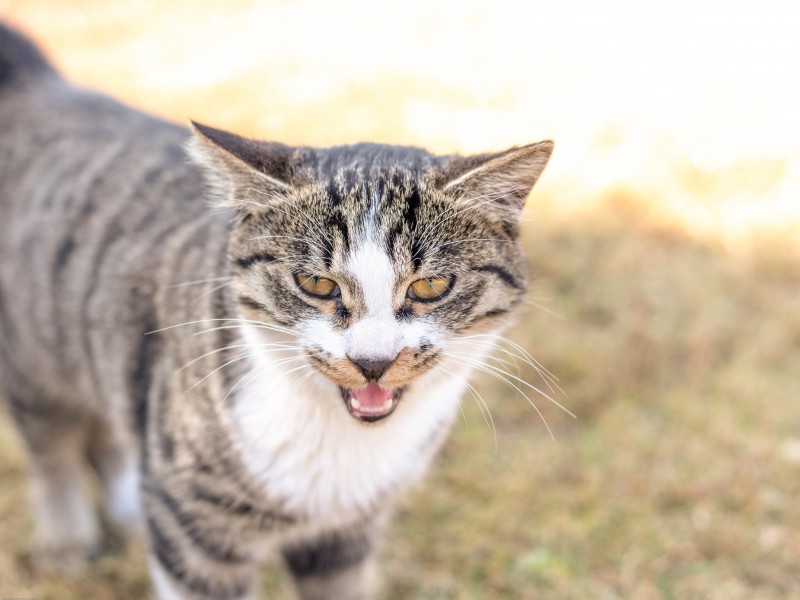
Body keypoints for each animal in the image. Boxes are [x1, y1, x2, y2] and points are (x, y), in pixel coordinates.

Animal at [0, 24, 552, 600]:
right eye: (316, 283)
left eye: (430, 285)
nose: (373, 362)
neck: (342, 447)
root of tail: (39, 84)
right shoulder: (196, 533)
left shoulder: (344, 537)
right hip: (33, 353)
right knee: (51, 445)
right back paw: (68, 537)